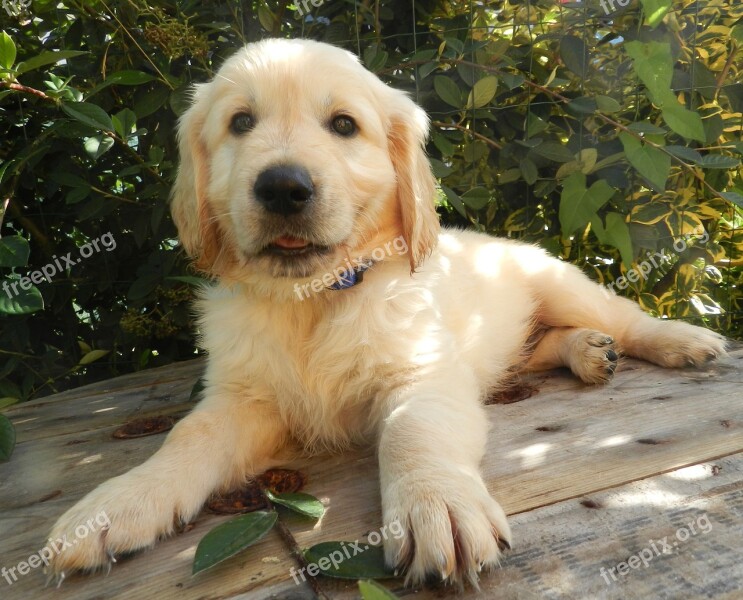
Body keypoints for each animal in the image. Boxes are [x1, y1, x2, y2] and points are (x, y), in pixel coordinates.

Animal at [49, 37, 728, 584]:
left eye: (344, 125)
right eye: (240, 122)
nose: (283, 187)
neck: (313, 301)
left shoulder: (422, 371)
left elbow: (412, 430)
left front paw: (437, 504)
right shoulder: (244, 397)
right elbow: (189, 436)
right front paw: (120, 501)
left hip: (559, 280)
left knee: (620, 315)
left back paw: (676, 339)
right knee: (537, 347)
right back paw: (586, 352)